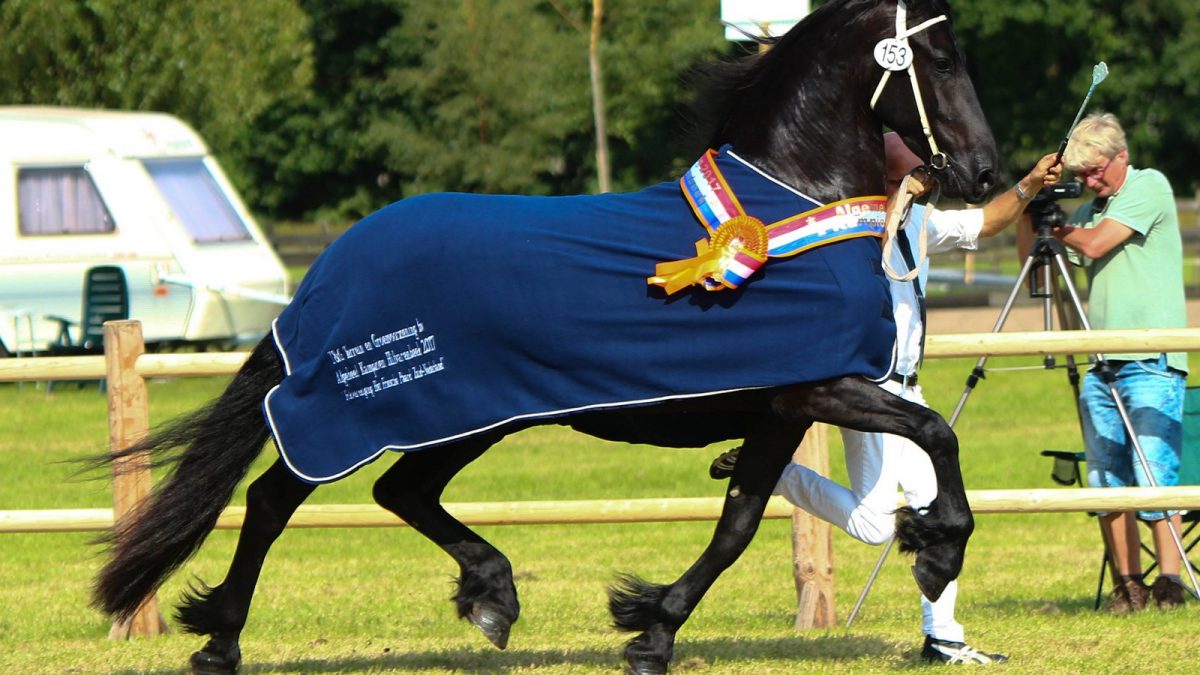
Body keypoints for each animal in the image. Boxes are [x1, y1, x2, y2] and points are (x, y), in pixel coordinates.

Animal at [91, 2, 993, 667]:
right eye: (941, 59)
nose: (983, 172)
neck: (788, 203)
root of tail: (325, 271)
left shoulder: (779, 407)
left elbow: (736, 524)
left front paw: (652, 625)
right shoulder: (820, 386)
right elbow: (936, 431)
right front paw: (937, 548)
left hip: (466, 418)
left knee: (399, 492)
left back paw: (492, 595)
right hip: (382, 411)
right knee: (278, 496)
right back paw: (221, 641)